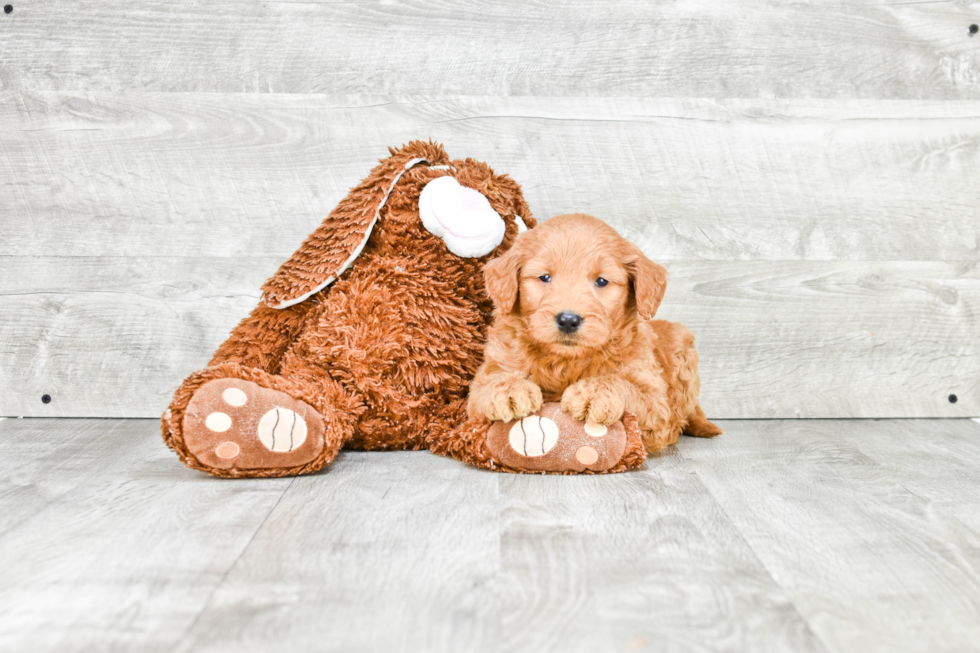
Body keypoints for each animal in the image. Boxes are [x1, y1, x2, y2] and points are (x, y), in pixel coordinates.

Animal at [468, 214, 720, 454]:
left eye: (601, 281)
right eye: (545, 277)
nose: (568, 320)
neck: (565, 361)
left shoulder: (656, 406)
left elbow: (622, 383)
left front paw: (593, 392)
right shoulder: (484, 382)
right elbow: (488, 384)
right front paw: (510, 389)